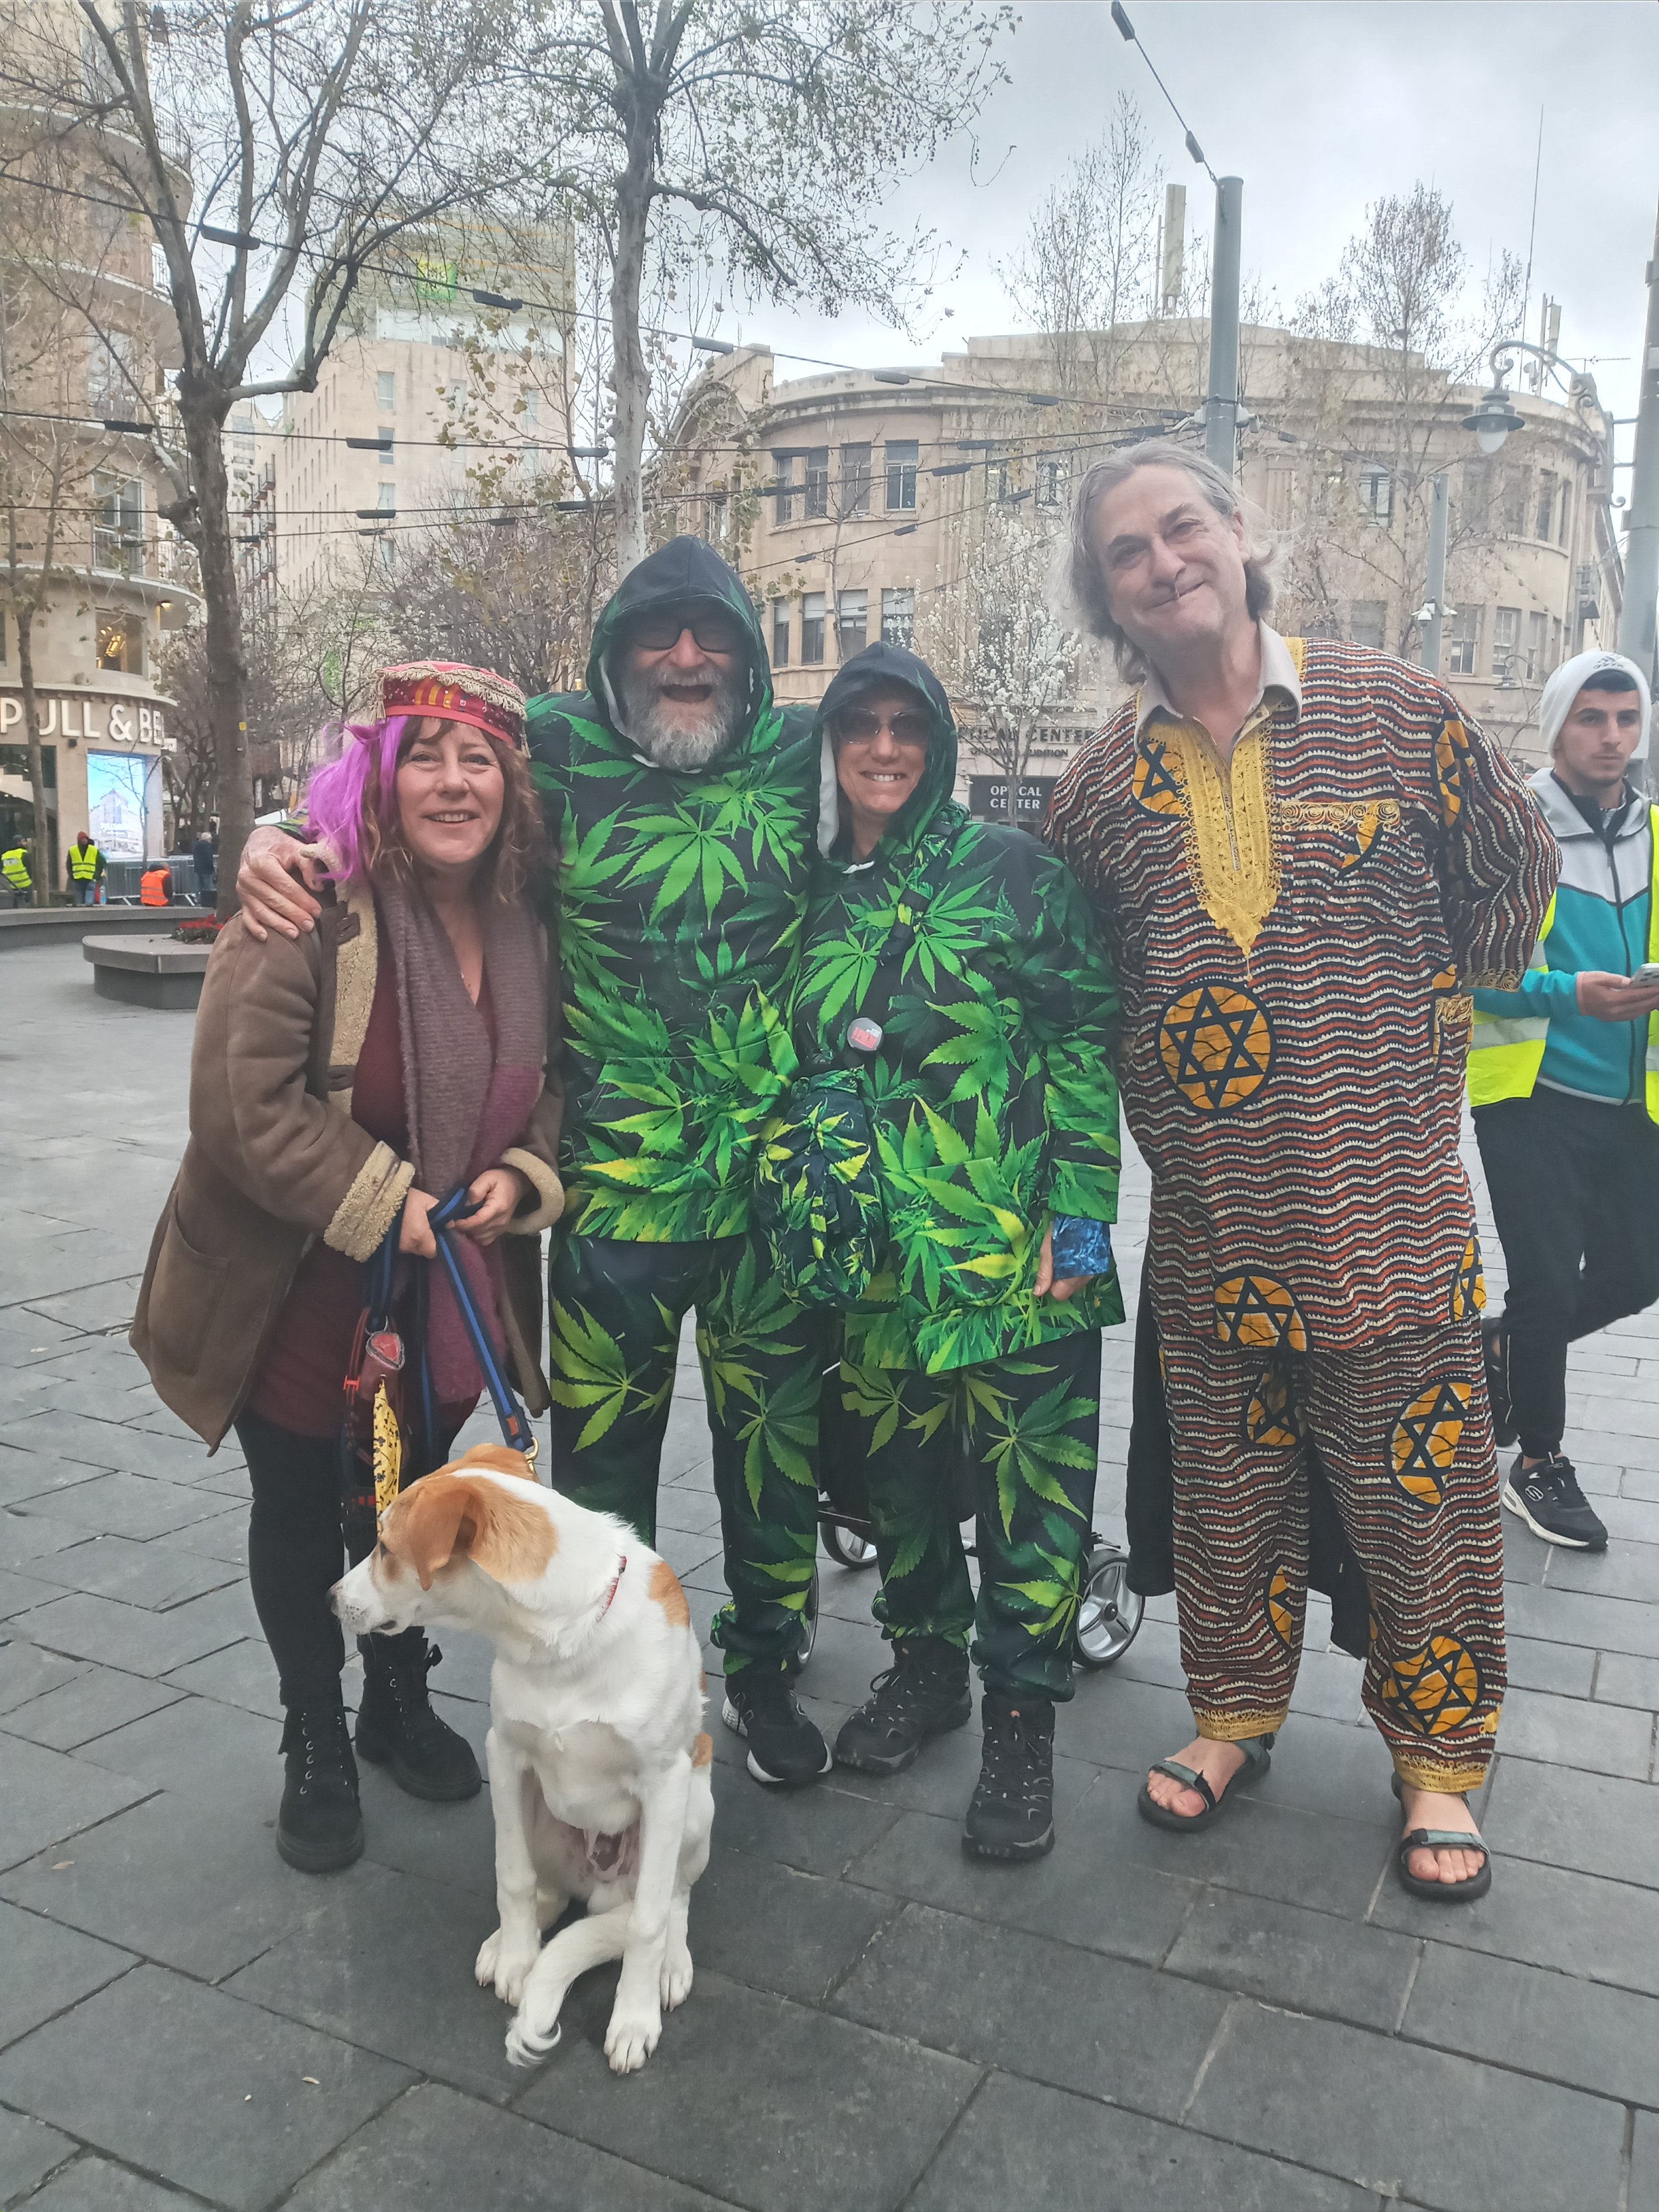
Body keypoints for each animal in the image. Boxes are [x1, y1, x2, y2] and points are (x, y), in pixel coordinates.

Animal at [332, 1451, 717, 2070]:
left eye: (385, 1548)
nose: (329, 1596)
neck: (560, 1640)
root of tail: (599, 1883)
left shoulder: (665, 1782)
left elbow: (649, 1919)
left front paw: (634, 2017)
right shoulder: (507, 1753)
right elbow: (511, 1876)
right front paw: (517, 1958)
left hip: (695, 1808)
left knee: (674, 1895)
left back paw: (671, 1963)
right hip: (541, 1816)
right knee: (550, 1888)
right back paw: (515, 1943)